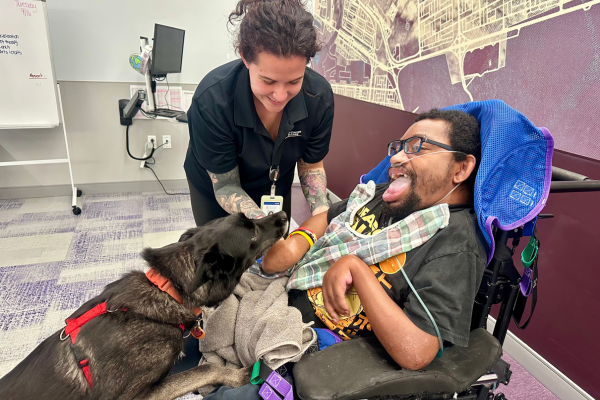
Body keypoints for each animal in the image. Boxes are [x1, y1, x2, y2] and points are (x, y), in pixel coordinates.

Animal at [0, 212, 288, 400]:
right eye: (253, 233)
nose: (284, 213)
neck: (168, 289)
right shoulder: (136, 396)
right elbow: (205, 369)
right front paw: (242, 376)